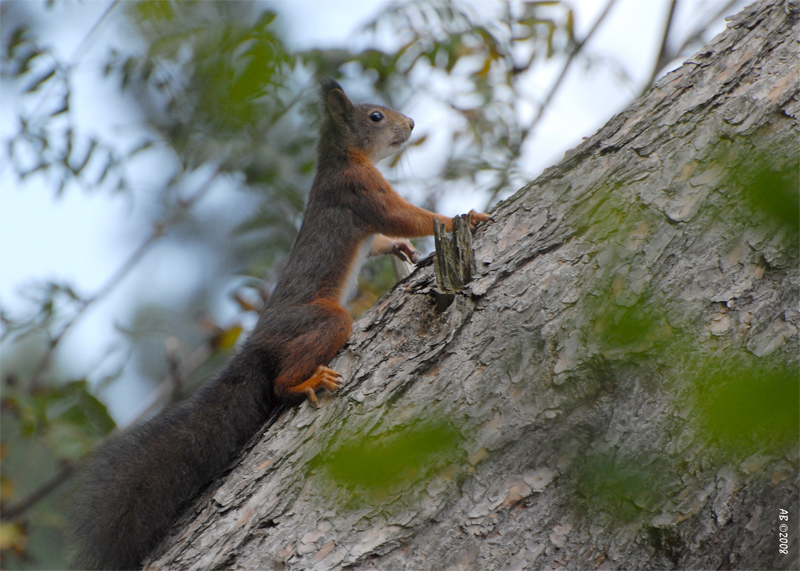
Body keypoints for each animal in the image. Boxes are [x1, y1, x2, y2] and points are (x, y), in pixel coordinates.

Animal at [69, 78, 490, 568]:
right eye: (375, 116)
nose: (412, 124)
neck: (346, 157)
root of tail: (257, 343)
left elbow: (383, 238)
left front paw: (400, 247)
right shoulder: (360, 190)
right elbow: (408, 215)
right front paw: (466, 216)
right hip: (321, 320)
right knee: (281, 381)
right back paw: (304, 383)